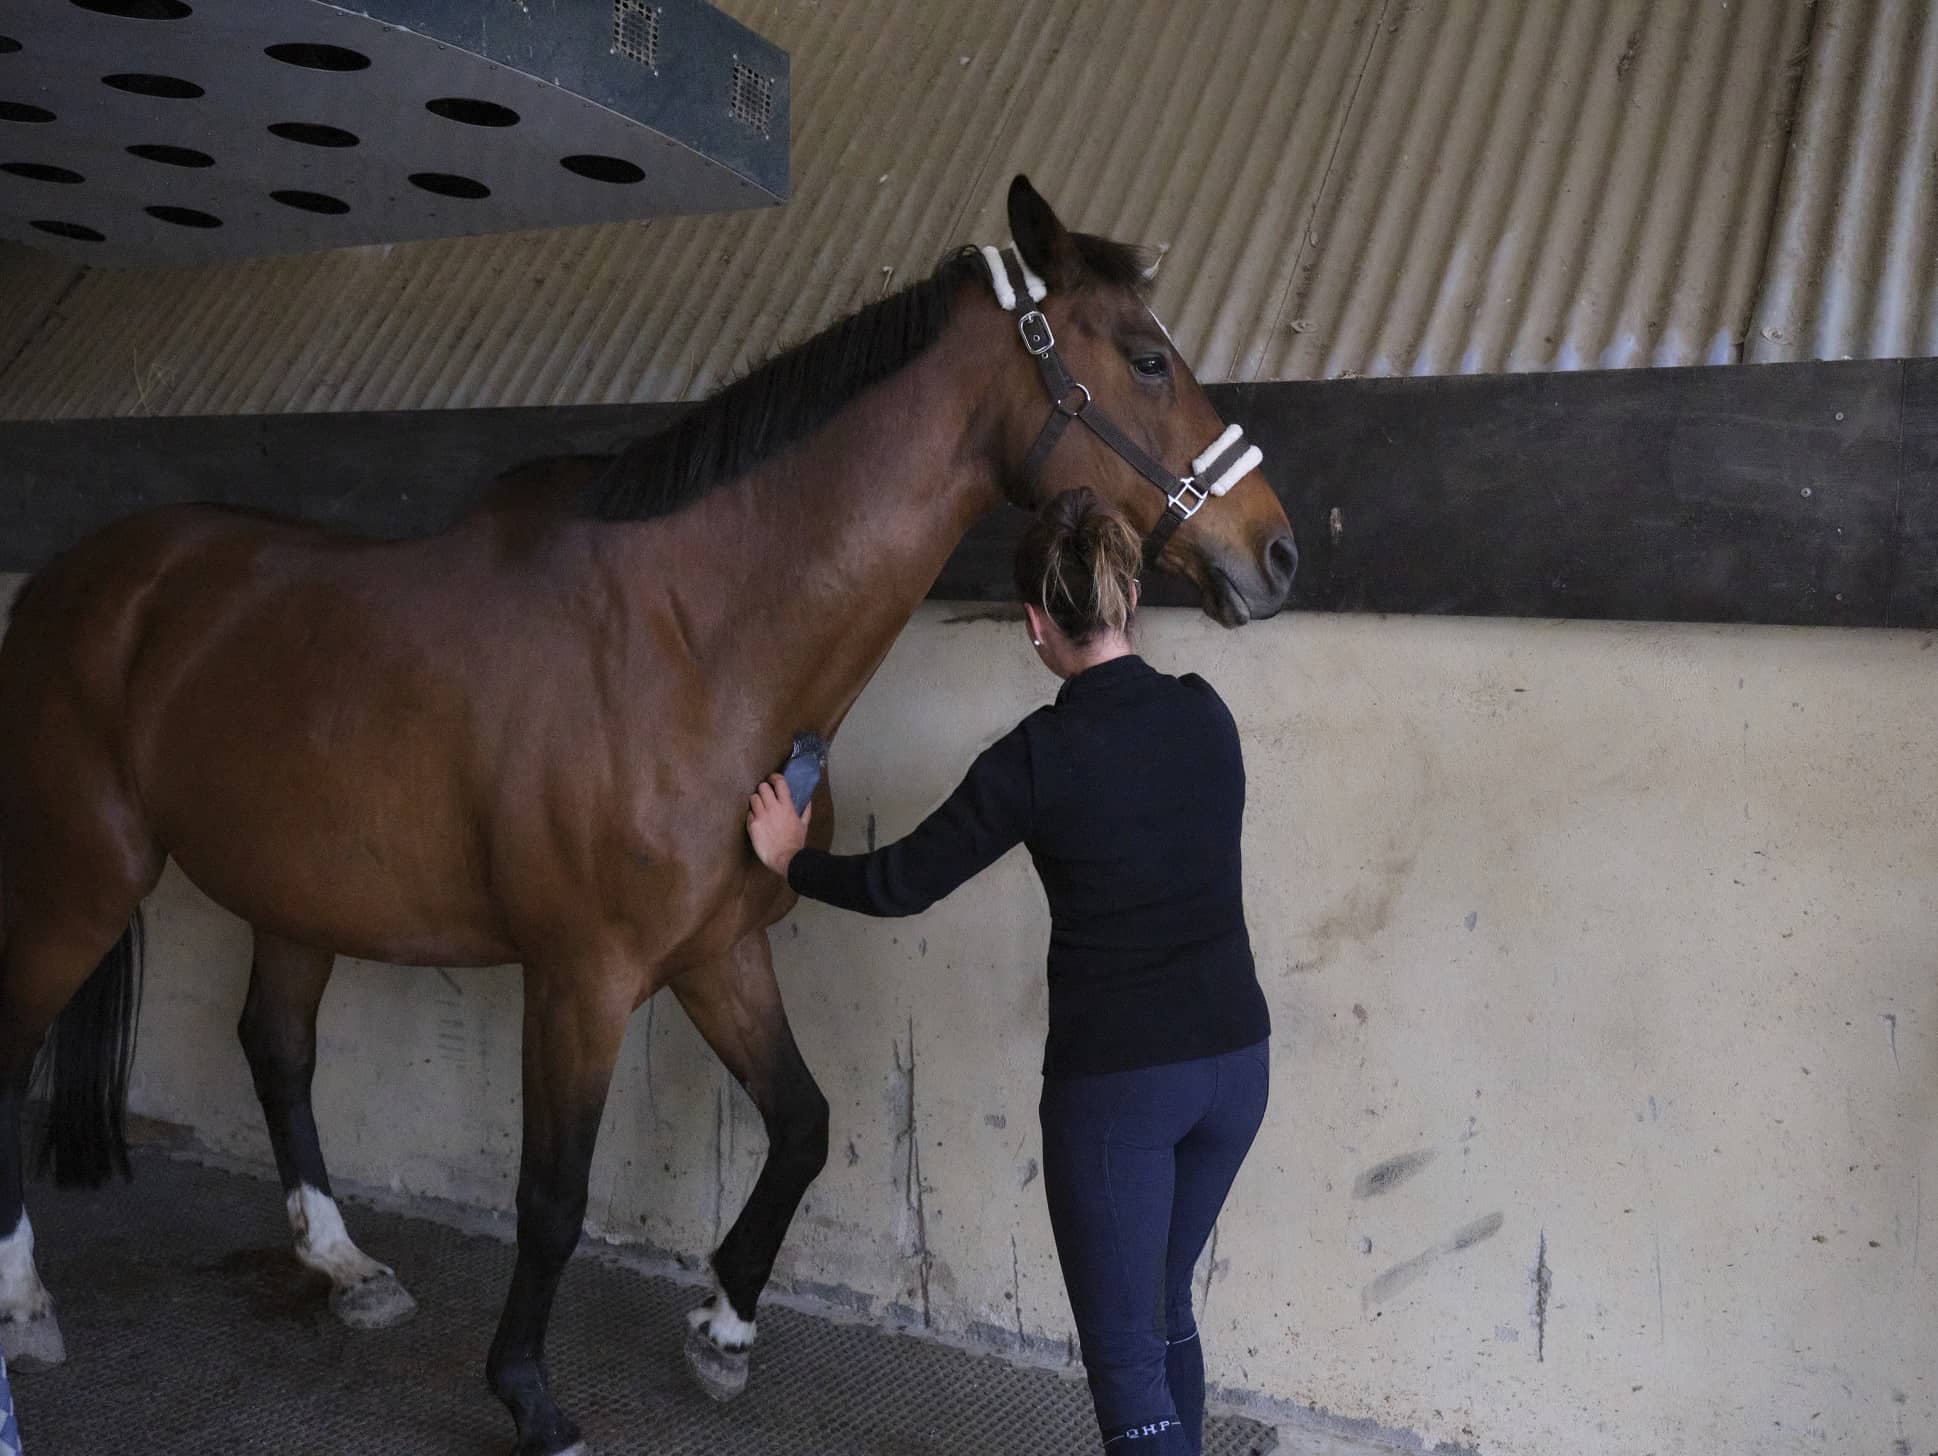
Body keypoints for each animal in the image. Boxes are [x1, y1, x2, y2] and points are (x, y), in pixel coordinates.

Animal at [3, 182, 1302, 1456]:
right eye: (1147, 359)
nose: (1278, 552)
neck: (691, 640)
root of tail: (74, 581)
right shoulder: (583, 977)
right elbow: (553, 1195)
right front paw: (530, 1397)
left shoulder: (718, 949)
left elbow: (802, 1124)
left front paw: (723, 1322)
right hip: (82, 877)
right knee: (21, 1045)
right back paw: (26, 1304)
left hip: (293, 891)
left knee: (277, 1049)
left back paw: (345, 1264)